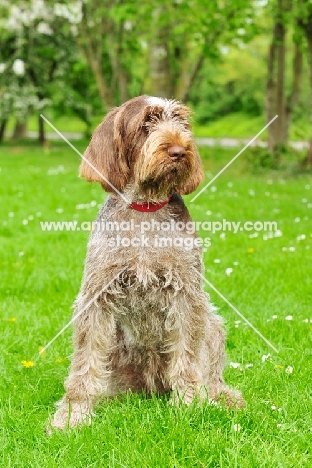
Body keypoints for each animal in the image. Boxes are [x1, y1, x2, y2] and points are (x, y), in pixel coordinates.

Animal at [50, 95, 244, 432]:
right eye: (146, 123)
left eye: (182, 122)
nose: (180, 149)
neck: (146, 208)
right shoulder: (97, 297)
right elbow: (85, 363)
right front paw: (74, 413)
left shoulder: (186, 294)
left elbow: (187, 357)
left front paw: (189, 405)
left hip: (213, 324)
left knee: (211, 374)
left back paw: (222, 397)